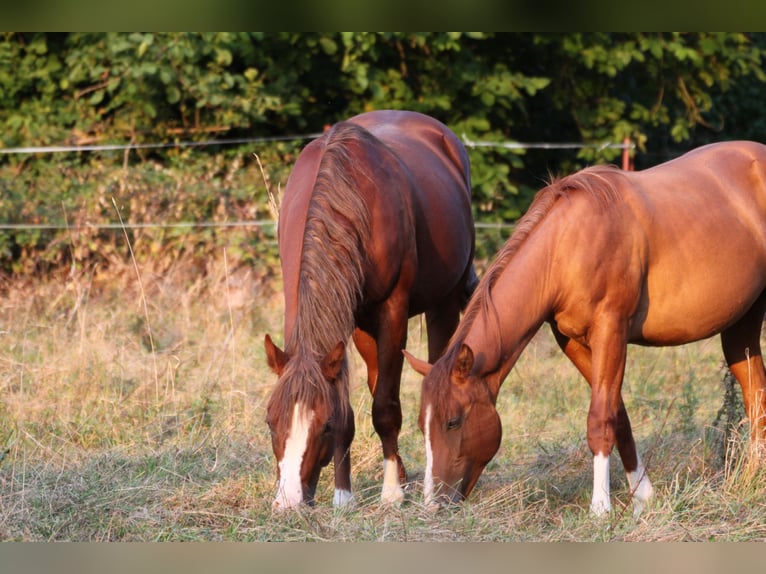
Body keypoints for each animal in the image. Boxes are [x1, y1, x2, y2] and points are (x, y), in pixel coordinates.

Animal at [266, 110, 480, 510]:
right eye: (271, 422)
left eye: (323, 426)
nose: (289, 502)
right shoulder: (352, 319)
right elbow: (353, 405)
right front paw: (344, 494)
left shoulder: (392, 310)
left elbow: (385, 408)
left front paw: (391, 492)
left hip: (443, 302)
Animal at [408, 142, 766, 520]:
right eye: (421, 425)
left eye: (452, 422)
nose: (433, 504)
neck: (567, 246)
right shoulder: (573, 342)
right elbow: (617, 415)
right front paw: (642, 496)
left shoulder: (611, 332)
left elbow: (599, 419)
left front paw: (600, 509)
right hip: (741, 324)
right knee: (756, 393)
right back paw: (750, 481)